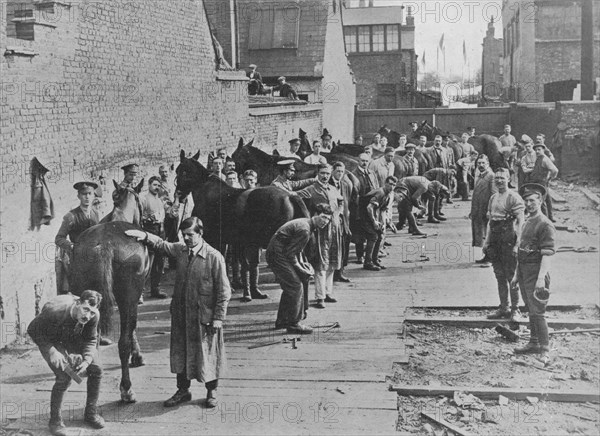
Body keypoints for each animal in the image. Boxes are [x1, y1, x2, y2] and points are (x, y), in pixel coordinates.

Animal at [69, 181, 150, 402]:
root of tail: (105, 245)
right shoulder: (133, 296)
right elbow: (132, 329)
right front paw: (137, 356)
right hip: (128, 295)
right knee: (123, 342)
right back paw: (126, 389)